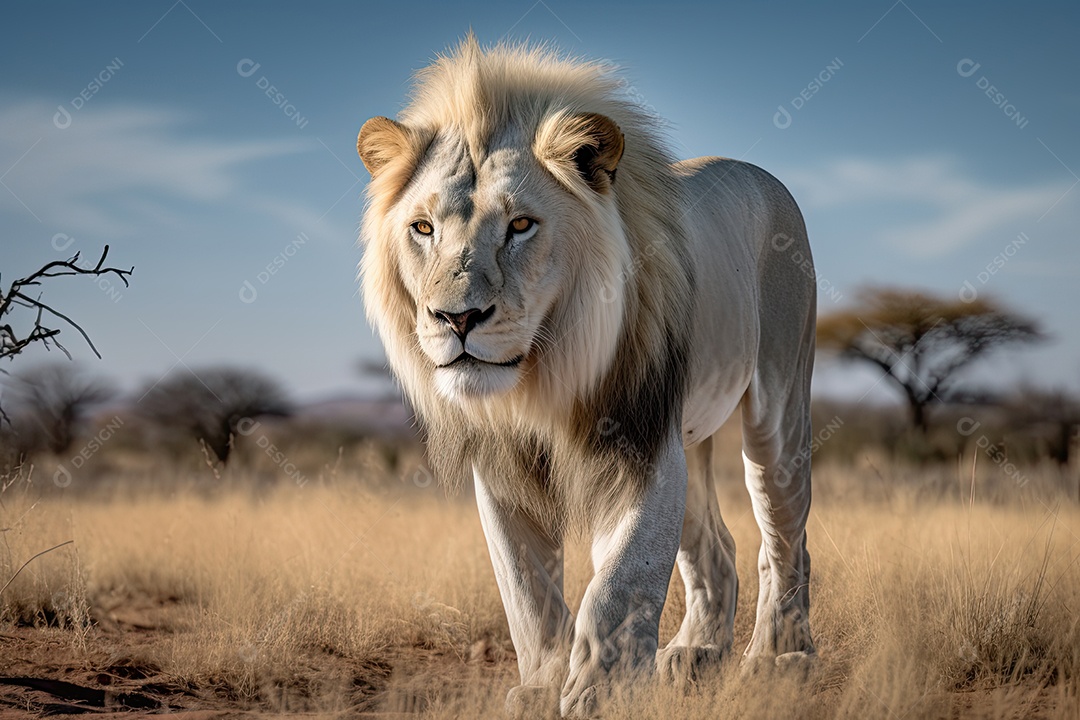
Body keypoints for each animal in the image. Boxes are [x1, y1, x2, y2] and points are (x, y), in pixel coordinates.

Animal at [357, 37, 817, 718]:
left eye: (520, 225)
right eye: (423, 228)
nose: (456, 318)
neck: (540, 382)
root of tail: (762, 174)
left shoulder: (639, 440)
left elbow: (620, 584)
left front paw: (598, 693)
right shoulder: (503, 465)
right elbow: (527, 591)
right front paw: (543, 686)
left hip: (779, 408)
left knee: (784, 538)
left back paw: (779, 658)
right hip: (692, 438)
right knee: (717, 546)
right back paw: (696, 652)